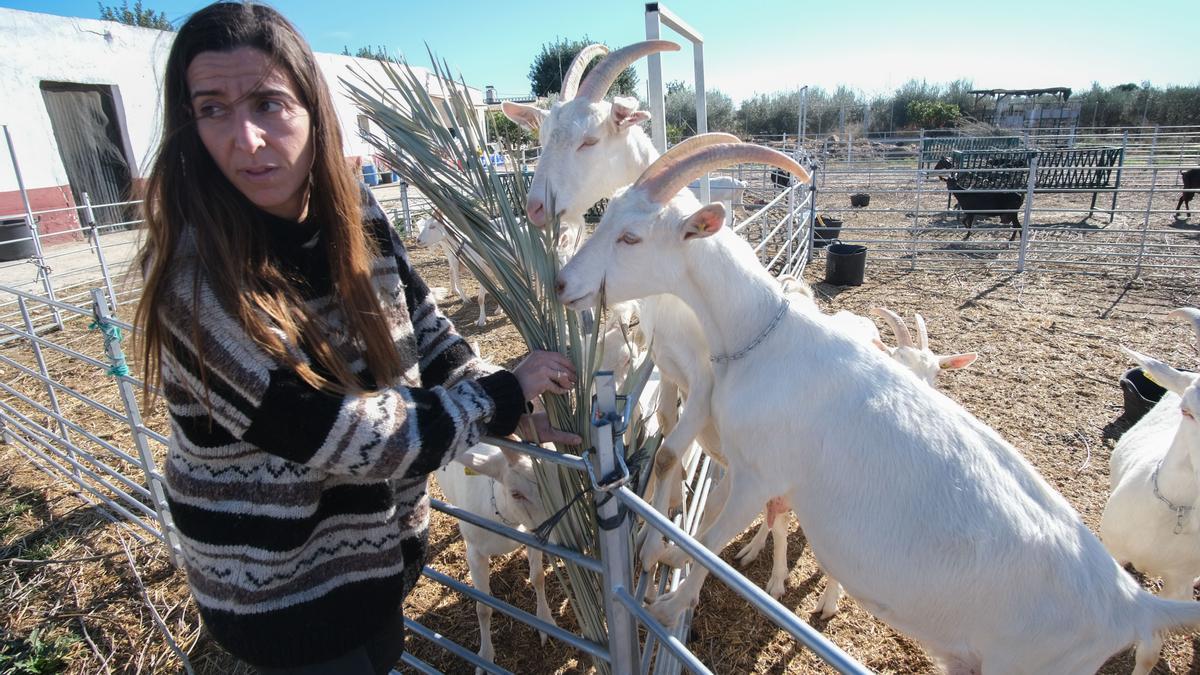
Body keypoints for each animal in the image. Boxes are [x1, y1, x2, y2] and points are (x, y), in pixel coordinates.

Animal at [439, 444, 554, 667]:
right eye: (516, 493)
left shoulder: (532, 534)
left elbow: (538, 577)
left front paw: (545, 622)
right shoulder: (474, 553)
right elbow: (483, 608)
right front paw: (485, 657)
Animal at [554, 138, 1200, 672]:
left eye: (631, 237)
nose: (563, 284)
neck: (766, 334)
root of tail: (1131, 606)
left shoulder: (761, 473)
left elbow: (711, 543)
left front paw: (667, 604)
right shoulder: (737, 461)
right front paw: (662, 550)